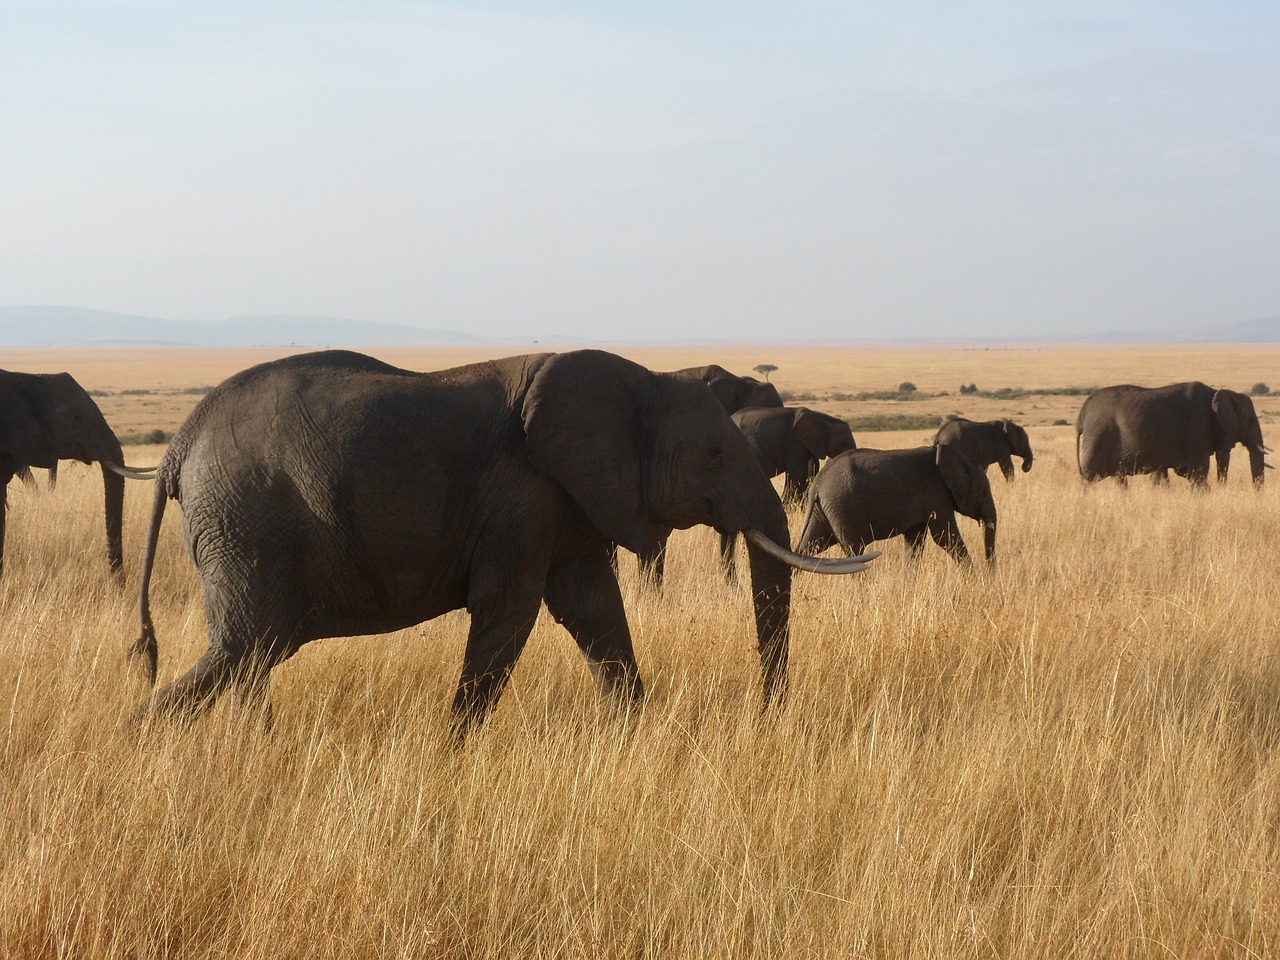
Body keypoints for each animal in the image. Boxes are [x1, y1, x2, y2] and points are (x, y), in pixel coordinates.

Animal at [124, 350, 875, 732]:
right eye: (715, 452)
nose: (767, 716)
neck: (640, 379)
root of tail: (177, 448)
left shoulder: (565, 496)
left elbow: (593, 609)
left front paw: (633, 731)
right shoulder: (524, 490)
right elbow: (511, 609)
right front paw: (453, 750)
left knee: (253, 654)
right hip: (246, 518)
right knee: (245, 647)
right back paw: (136, 739)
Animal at [798, 448, 998, 568]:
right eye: (984, 493)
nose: (990, 577)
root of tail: (818, 482)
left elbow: (915, 542)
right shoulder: (937, 495)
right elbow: (945, 536)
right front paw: (974, 579)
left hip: (824, 510)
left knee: (809, 546)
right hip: (843, 507)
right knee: (854, 551)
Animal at [1075, 384, 1264, 488]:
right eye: (1251, 420)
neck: (1217, 393)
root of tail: (1082, 415)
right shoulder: (1197, 428)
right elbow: (1198, 471)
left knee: (1118, 478)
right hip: (1098, 436)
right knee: (1089, 477)